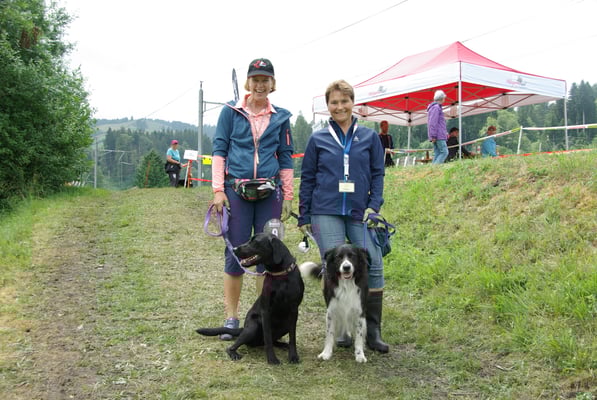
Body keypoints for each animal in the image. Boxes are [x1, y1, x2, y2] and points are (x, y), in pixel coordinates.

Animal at [196, 233, 304, 365]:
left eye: (255, 242)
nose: (234, 249)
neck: (280, 275)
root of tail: (243, 328)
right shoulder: (265, 311)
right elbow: (268, 338)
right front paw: (272, 359)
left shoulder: (294, 311)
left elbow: (292, 337)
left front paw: (293, 356)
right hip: (252, 327)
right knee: (232, 347)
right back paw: (234, 354)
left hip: (285, 325)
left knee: (273, 340)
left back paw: (283, 345)